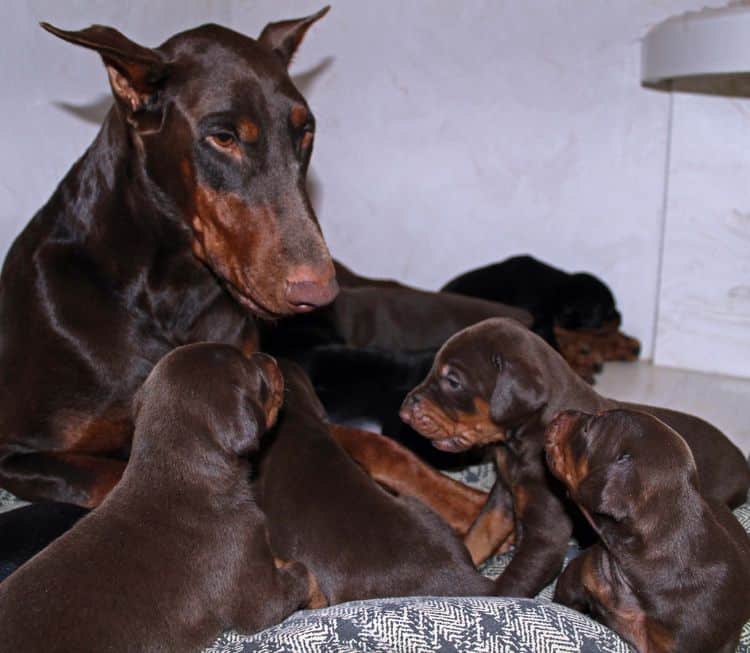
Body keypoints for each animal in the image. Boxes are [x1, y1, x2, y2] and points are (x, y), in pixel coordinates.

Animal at [402, 318, 750, 600]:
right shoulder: (502, 499)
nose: (404, 411)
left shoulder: (547, 533)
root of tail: (741, 458)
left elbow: (511, 584)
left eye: (453, 381)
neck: (522, 442)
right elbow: (477, 537)